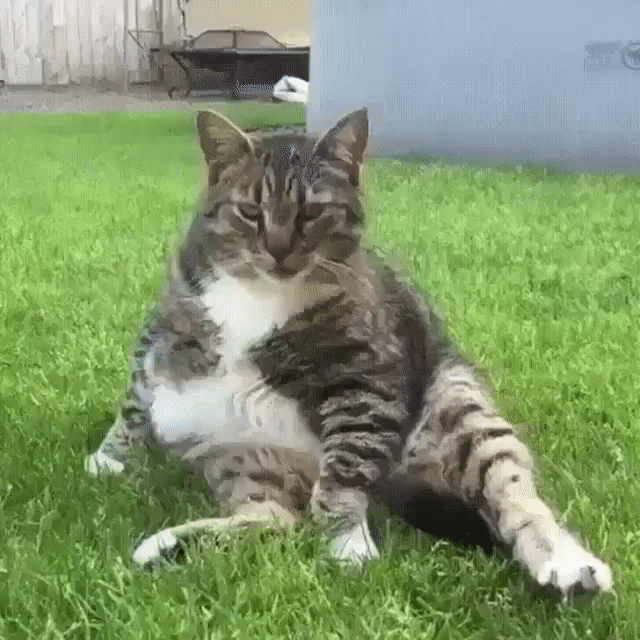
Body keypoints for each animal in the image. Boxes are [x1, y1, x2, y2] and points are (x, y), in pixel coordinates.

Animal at [86, 108, 612, 599]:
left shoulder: (366, 382)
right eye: (250, 211)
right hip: (244, 455)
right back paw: (165, 546)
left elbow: (342, 476)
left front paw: (347, 545)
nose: (278, 250)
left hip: (460, 409)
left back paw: (567, 565)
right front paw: (110, 457)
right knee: (273, 519)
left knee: (517, 497)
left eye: (311, 213)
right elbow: (135, 401)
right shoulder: (161, 329)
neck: (264, 293)